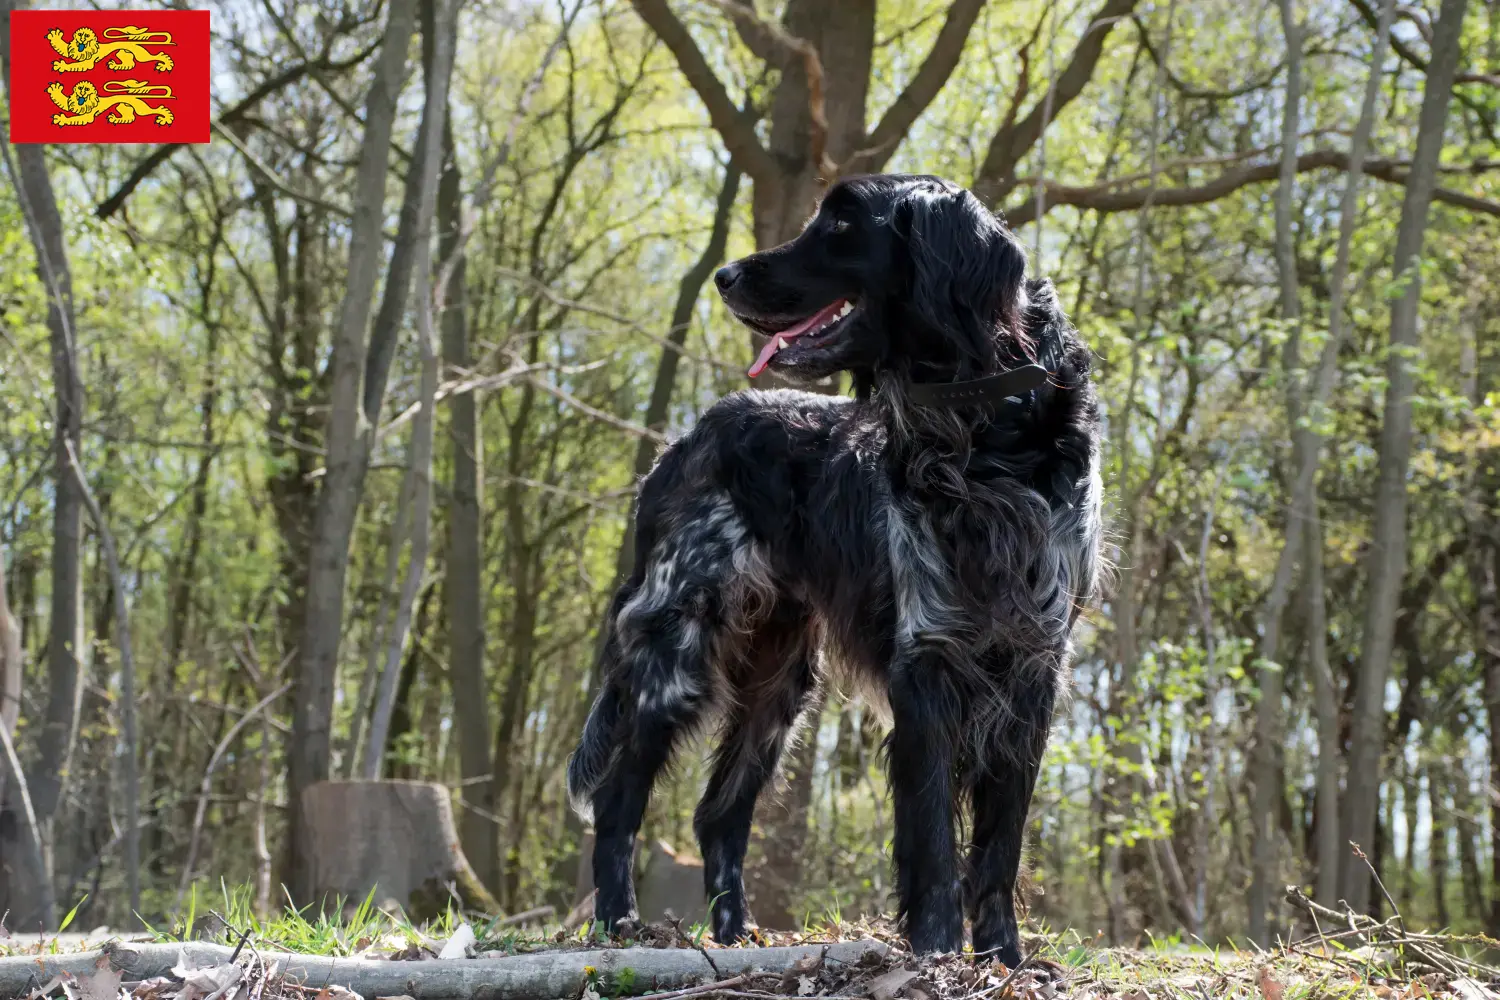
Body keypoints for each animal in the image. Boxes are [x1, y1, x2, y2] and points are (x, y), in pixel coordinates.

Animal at [46, 26, 174, 72]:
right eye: (79, 35)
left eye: (86, 36)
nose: (82, 40)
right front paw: (55, 36)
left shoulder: (88, 62)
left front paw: (62, 66)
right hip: (122, 54)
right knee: (129, 63)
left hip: (141, 56)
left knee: (156, 56)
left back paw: (164, 63)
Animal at [567, 176, 1110, 965]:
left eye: (843, 223)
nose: (725, 275)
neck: (986, 437)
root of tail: (685, 441)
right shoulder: (927, 659)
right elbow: (933, 839)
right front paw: (938, 952)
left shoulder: (1034, 665)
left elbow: (1000, 845)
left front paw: (1001, 959)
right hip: (676, 656)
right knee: (617, 801)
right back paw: (617, 924)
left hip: (779, 687)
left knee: (718, 815)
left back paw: (736, 938)